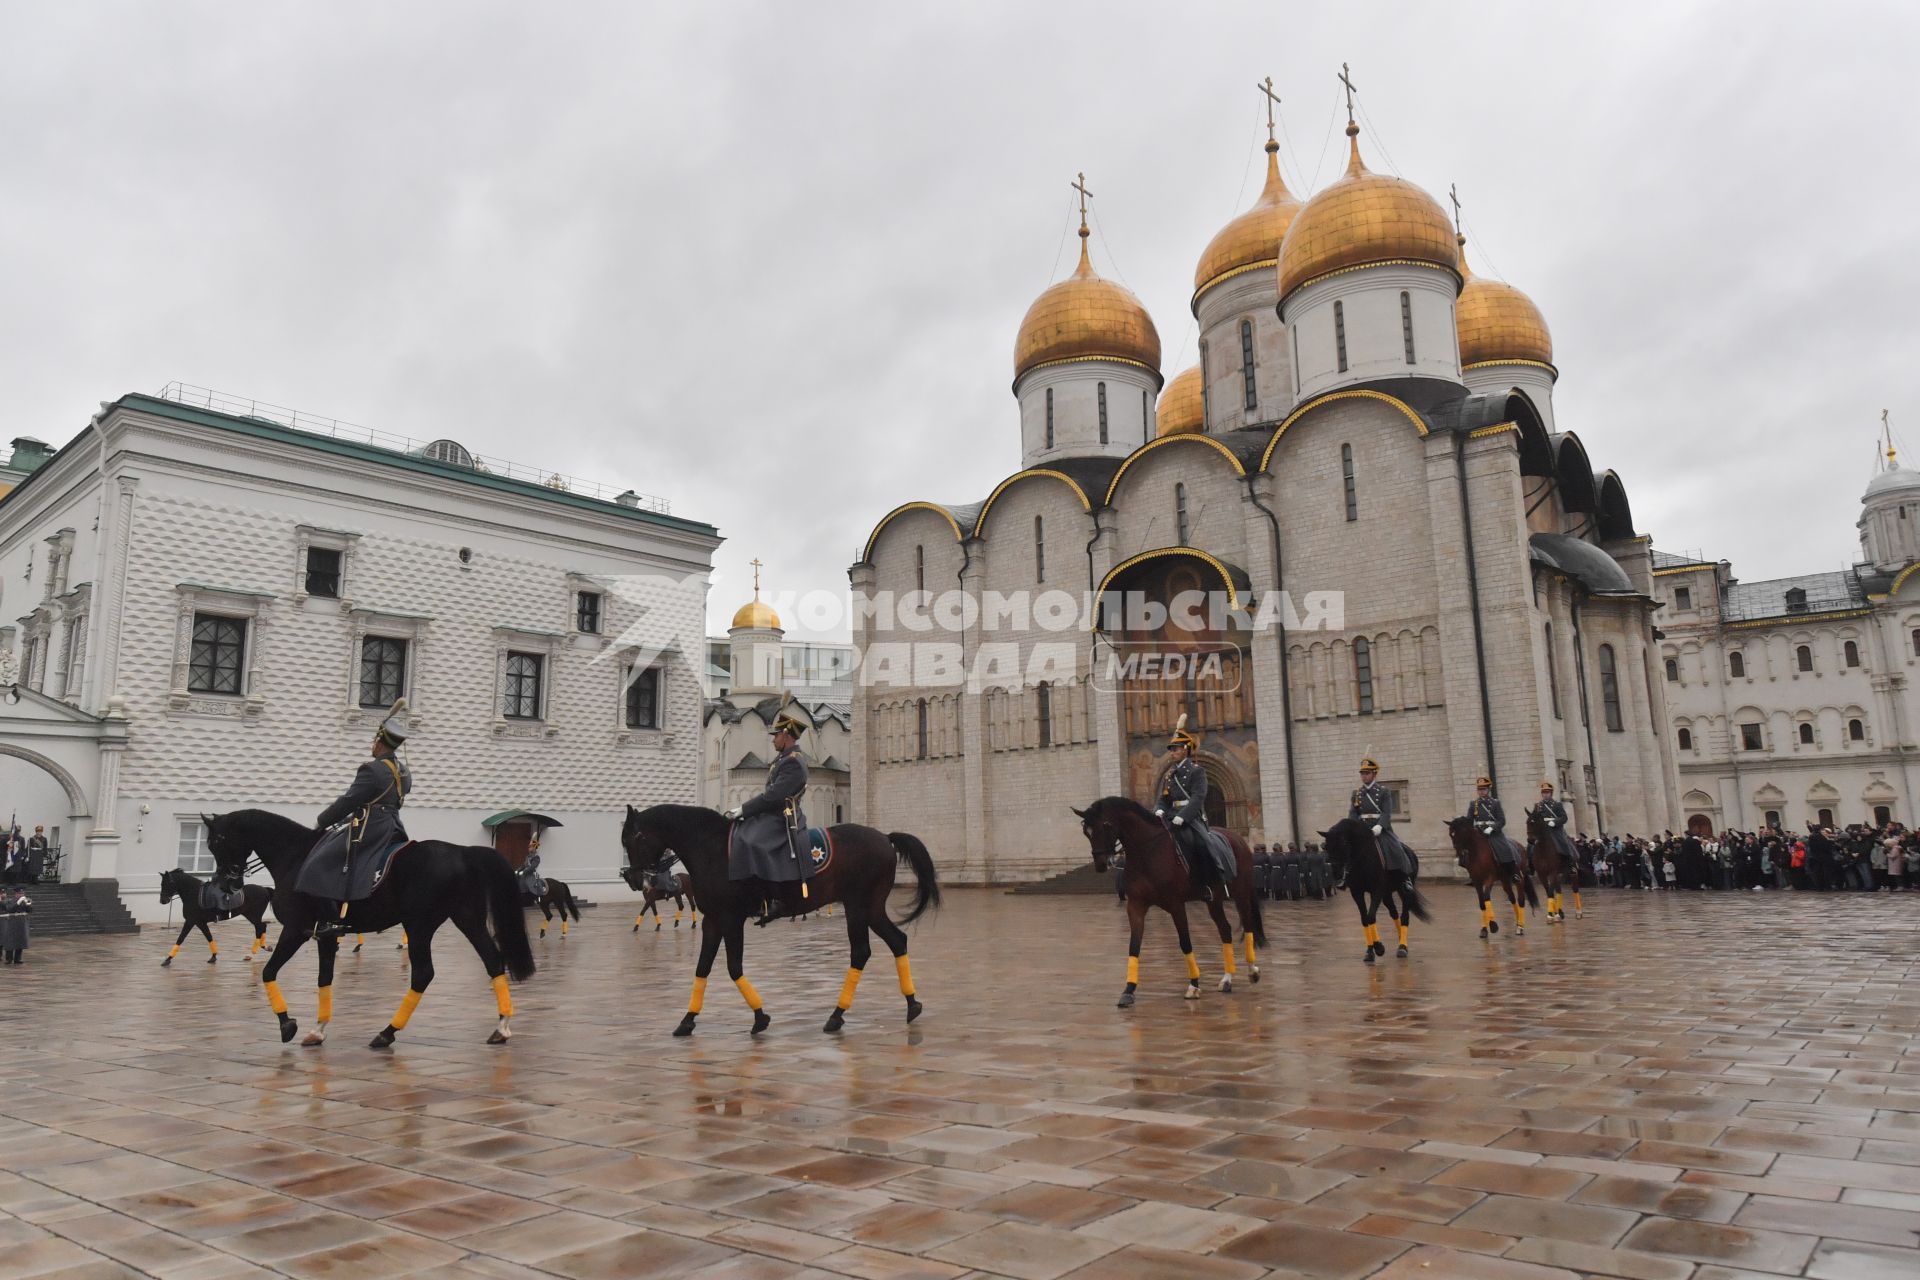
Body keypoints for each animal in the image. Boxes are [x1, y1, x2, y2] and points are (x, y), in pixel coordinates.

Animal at [207, 809, 537, 1051]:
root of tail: (463, 852)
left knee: (423, 974)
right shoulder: (326, 936)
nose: (226, 884)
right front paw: (318, 1030)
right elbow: (324, 979)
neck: (295, 856)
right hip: (466, 918)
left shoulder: (296, 930)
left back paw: (387, 1032)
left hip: (419, 925)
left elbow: (268, 972)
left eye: (217, 842)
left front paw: (287, 1025)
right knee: (493, 961)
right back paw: (501, 1027)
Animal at [622, 805, 936, 1036]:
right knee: (897, 941)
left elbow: (734, 968)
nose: (634, 880)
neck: (711, 849)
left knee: (860, 952)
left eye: (633, 838)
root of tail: (884, 836)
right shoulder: (713, 920)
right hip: (870, 908)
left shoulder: (731, 919)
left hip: (858, 906)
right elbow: (702, 968)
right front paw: (687, 1020)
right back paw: (911, 1004)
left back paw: (837, 1015)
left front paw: (759, 1017)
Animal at [1075, 794, 1267, 1005]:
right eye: (1086, 832)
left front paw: (1194, 985)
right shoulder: (1136, 905)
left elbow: (1185, 943)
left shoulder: (1176, 905)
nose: (1101, 865)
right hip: (1214, 899)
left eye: (1106, 825)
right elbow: (1134, 945)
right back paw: (1227, 979)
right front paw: (1129, 989)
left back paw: (1252, 970)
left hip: (1241, 893)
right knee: (1225, 930)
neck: (1147, 851)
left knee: (1248, 926)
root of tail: (1237, 839)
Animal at [1320, 821, 1428, 959]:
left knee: (1405, 916)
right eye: (1326, 847)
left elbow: (1370, 916)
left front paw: (1379, 947)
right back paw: (1400, 938)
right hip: (1387, 894)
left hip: (1404, 890)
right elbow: (1364, 919)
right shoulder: (1357, 892)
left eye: (1343, 844)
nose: (1337, 874)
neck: (1362, 858)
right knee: (1394, 913)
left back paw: (1402, 946)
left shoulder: (1376, 891)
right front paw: (1370, 951)